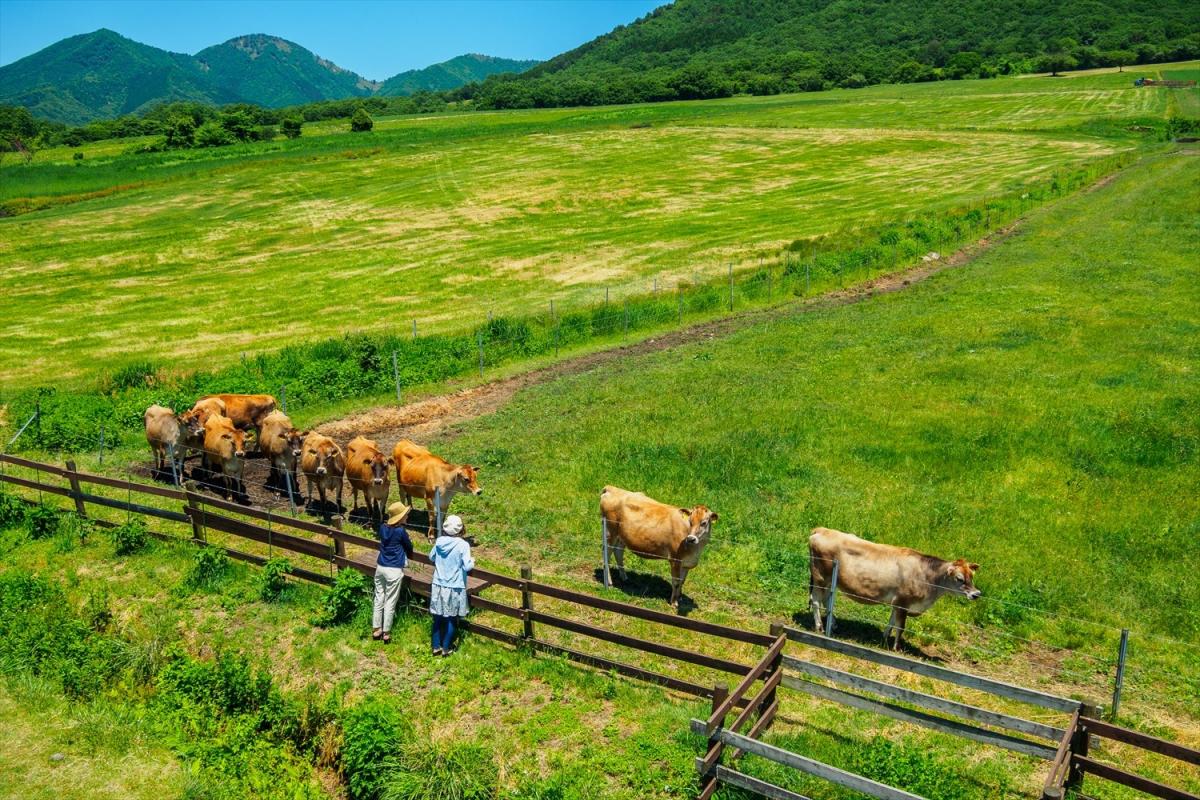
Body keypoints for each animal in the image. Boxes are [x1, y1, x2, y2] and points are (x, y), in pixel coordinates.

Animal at [811, 527, 979, 652]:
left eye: (972, 576)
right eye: (959, 578)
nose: (976, 594)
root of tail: (820, 530)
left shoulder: (897, 602)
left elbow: (892, 622)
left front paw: (884, 638)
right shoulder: (903, 601)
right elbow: (901, 627)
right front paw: (897, 648)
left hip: (829, 581)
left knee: (826, 599)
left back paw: (833, 625)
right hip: (820, 577)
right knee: (815, 600)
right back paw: (820, 627)